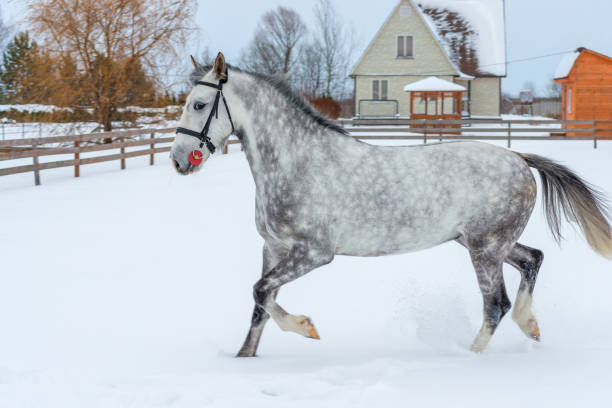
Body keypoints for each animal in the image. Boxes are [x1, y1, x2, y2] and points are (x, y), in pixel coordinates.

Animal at [169, 53, 612, 356]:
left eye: (198, 104)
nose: (178, 160)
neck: (297, 162)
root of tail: (520, 158)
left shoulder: (314, 252)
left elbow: (261, 291)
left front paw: (307, 327)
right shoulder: (274, 248)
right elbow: (260, 303)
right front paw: (245, 358)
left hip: (485, 248)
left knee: (495, 305)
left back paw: (470, 358)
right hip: (484, 242)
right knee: (533, 259)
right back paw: (530, 325)